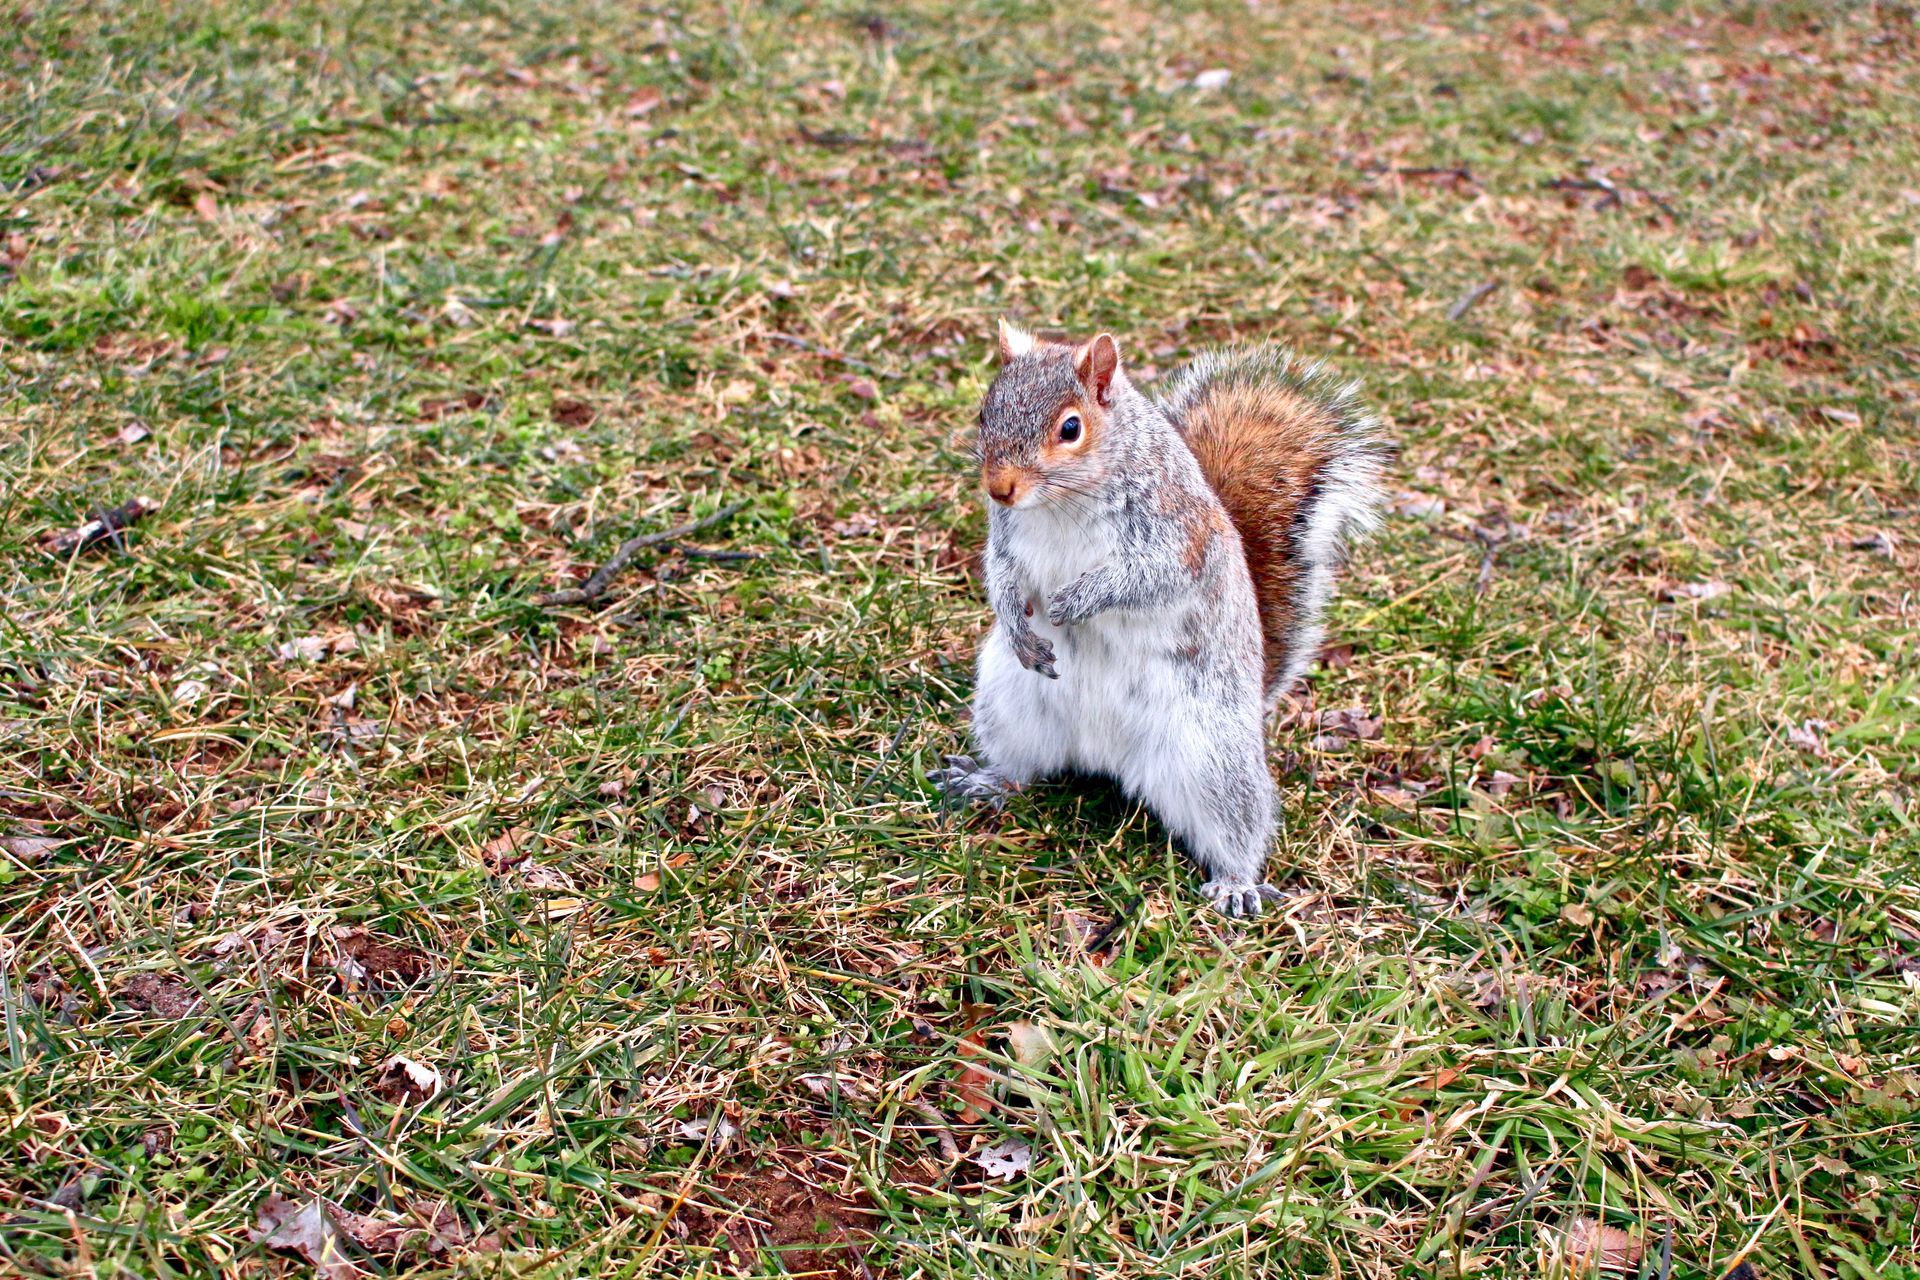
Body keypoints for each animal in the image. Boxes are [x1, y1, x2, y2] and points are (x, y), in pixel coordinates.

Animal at [931, 320, 1386, 916]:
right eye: (985, 411)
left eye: (1071, 427)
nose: (998, 487)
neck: (1061, 503)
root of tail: (1104, 756)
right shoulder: (1006, 538)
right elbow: (1002, 576)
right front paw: (1019, 624)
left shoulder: (1176, 536)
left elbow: (1148, 578)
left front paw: (1075, 601)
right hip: (1012, 704)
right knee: (1021, 766)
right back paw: (987, 782)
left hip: (1213, 754)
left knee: (1236, 826)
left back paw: (1236, 883)